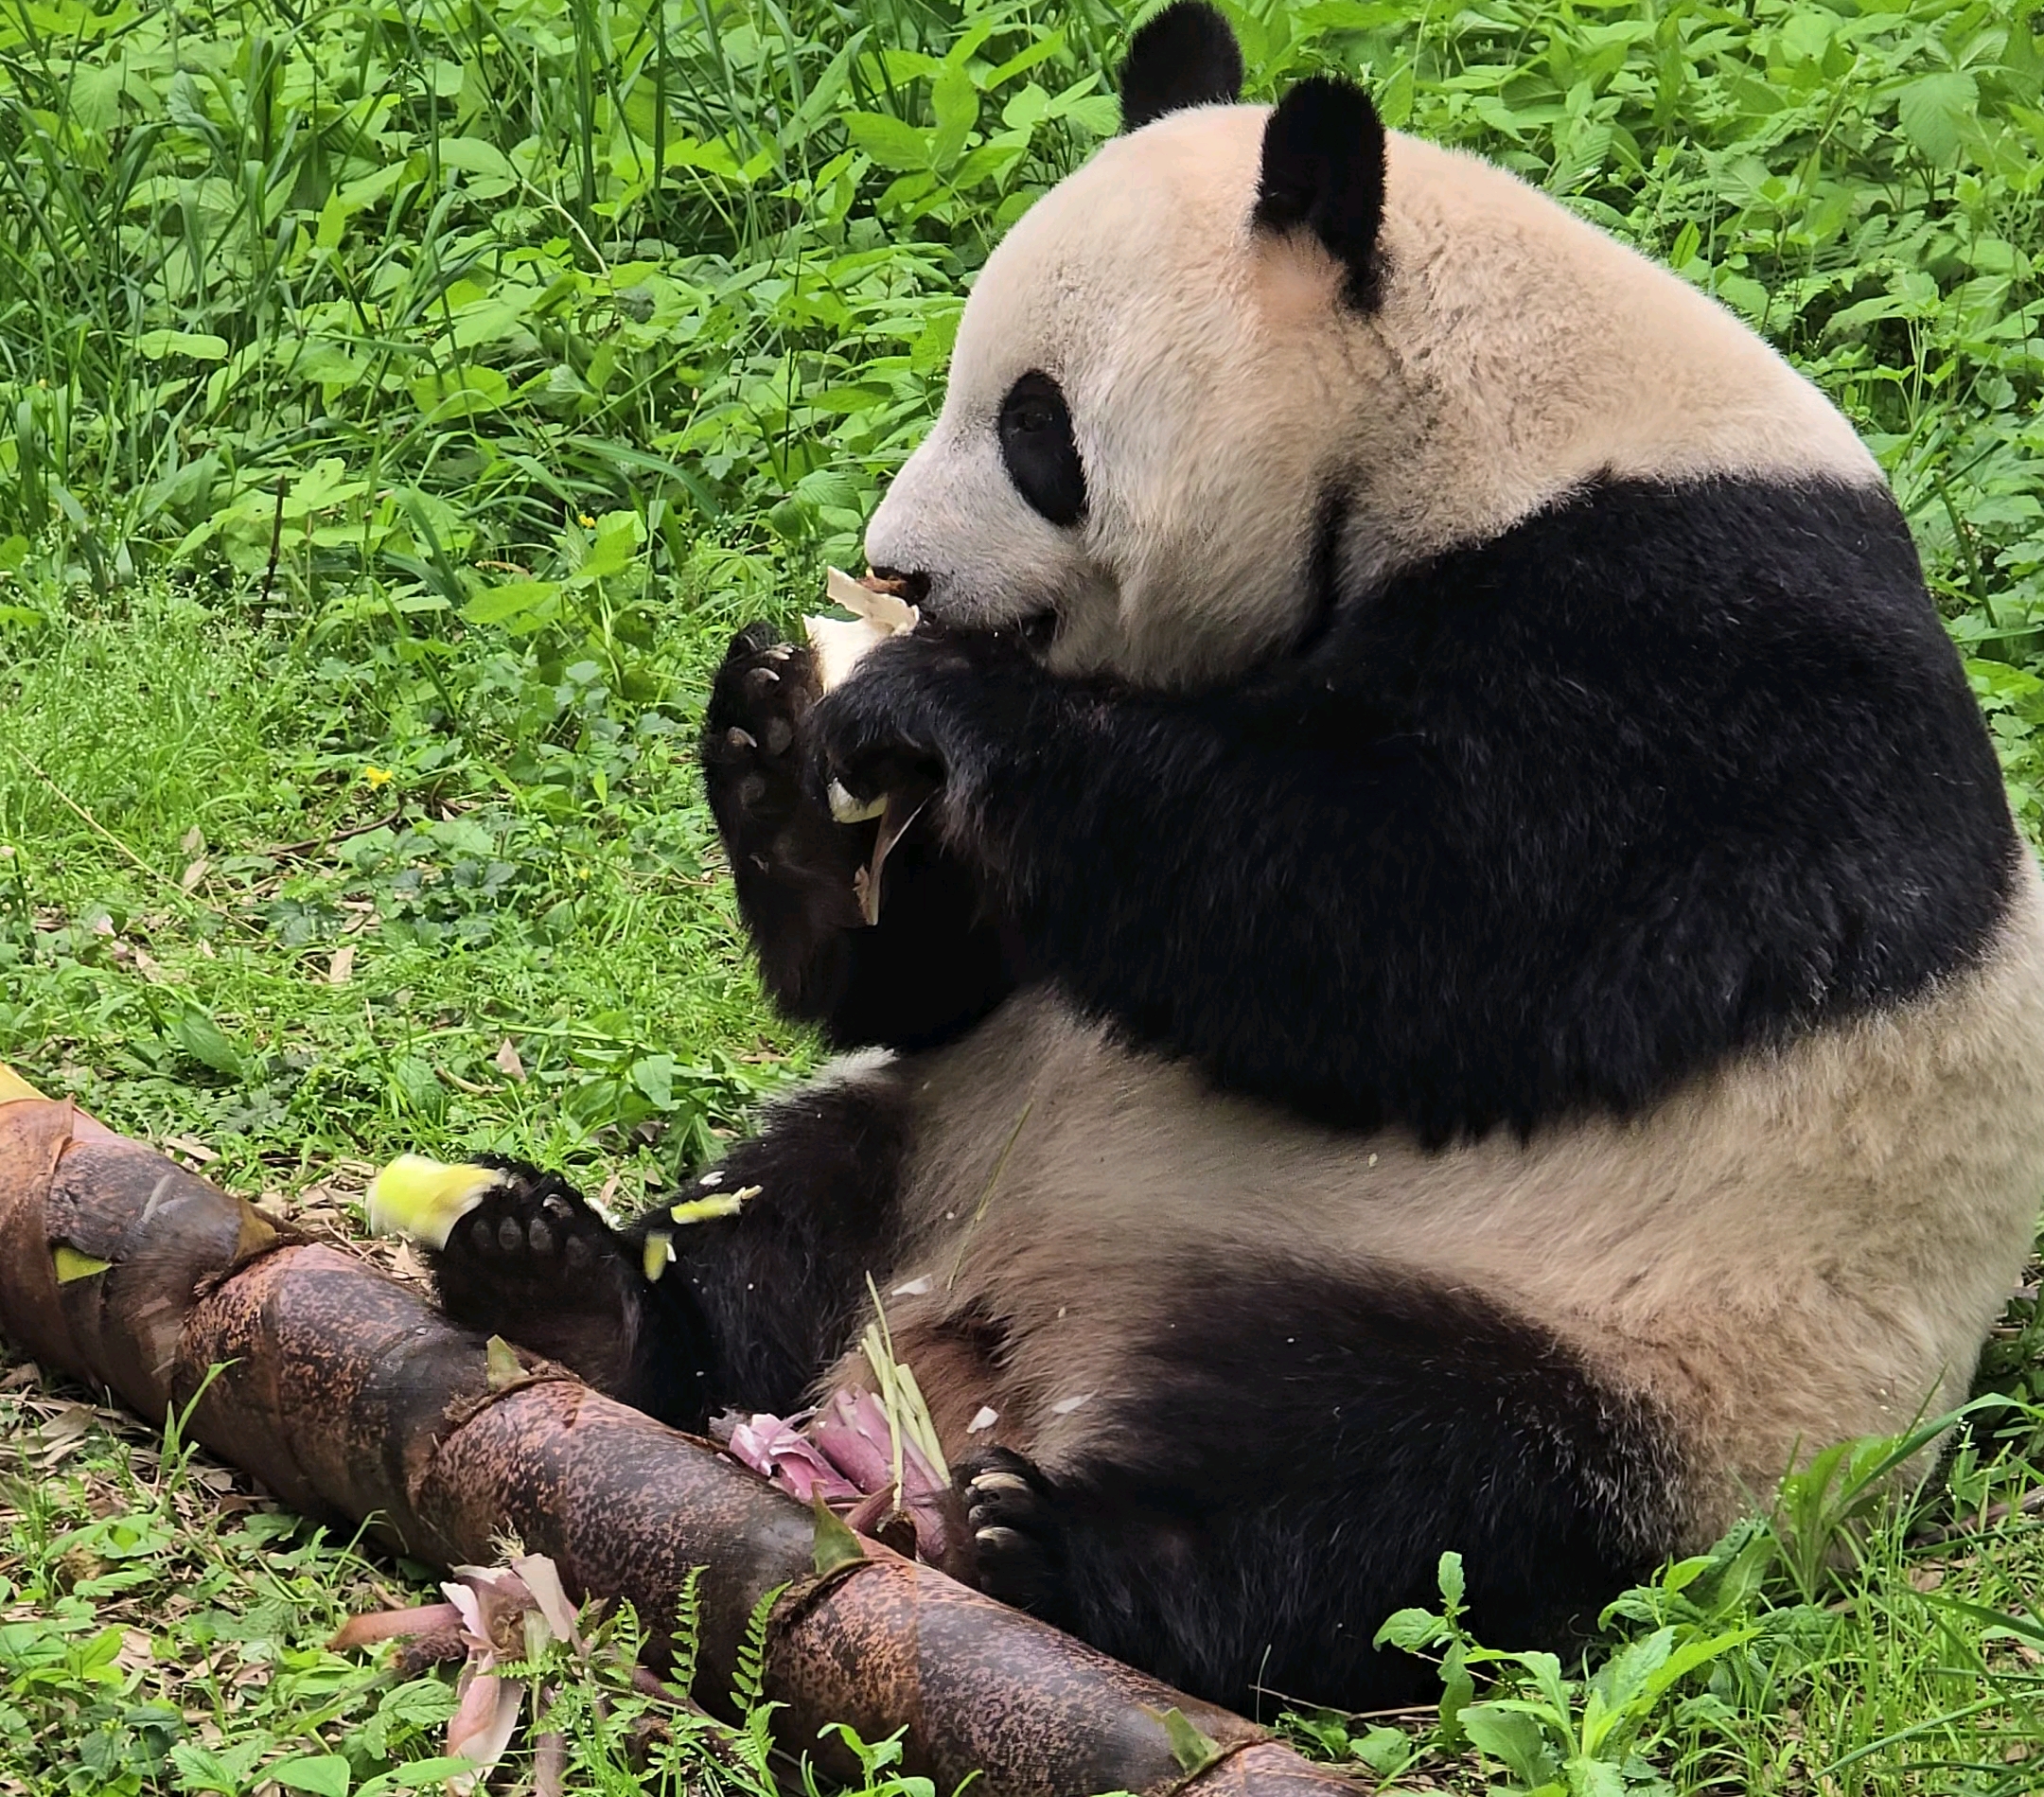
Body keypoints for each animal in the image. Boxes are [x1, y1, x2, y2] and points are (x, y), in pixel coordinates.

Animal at [431, 0, 2044, 1717]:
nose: (896, 570)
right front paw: (779, 740)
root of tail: (1008, 1357)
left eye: (1036, 427)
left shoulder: (1694, 661)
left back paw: (1059, 1545)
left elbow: (1401, 932)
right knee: (787, 1201)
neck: (1472, 420)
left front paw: (936, 704)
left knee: (1407, 1488)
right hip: (953, 1137)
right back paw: (574, 1293)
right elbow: (958, 969)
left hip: (1656, 1346)